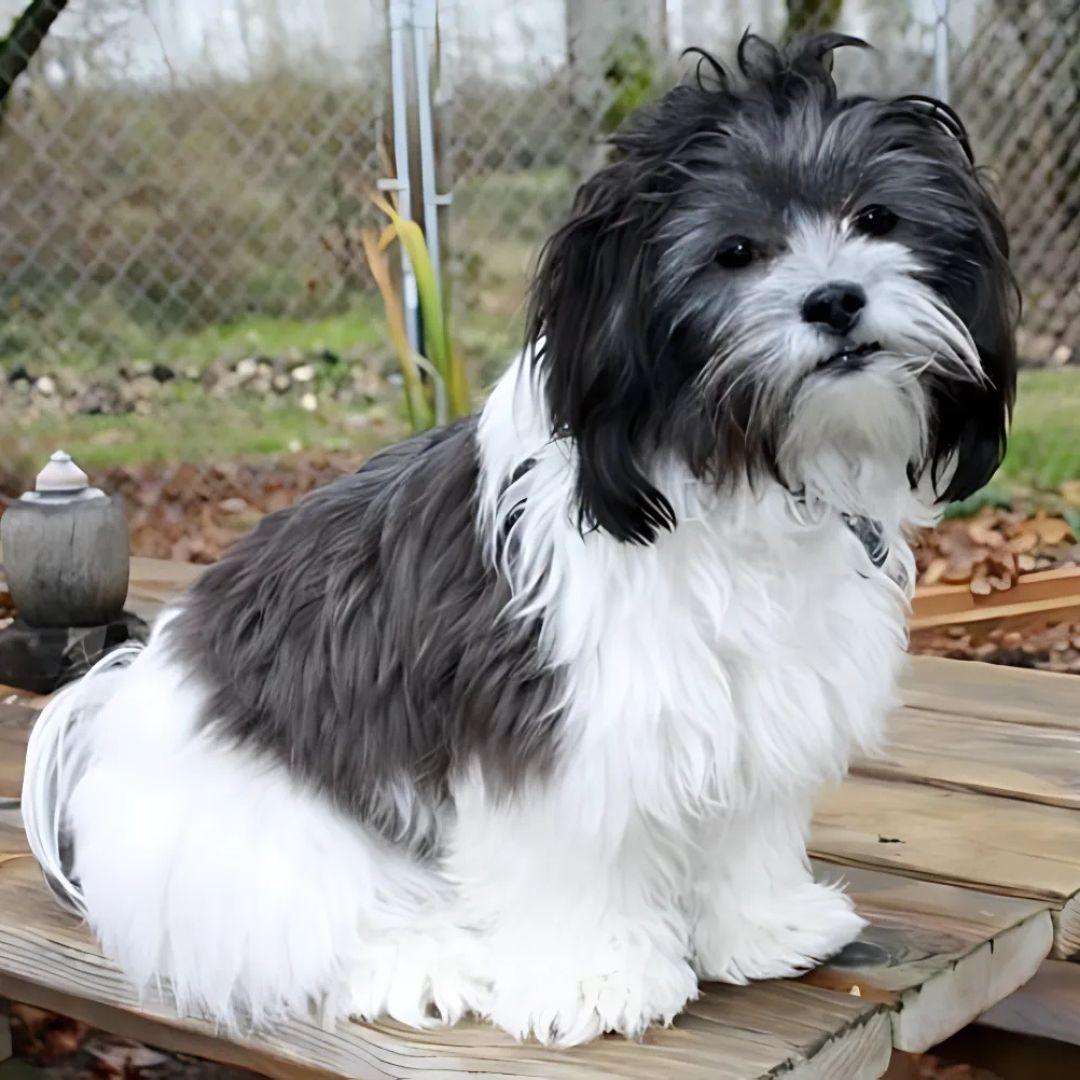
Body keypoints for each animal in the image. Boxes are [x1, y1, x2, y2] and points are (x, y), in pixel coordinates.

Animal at [21, 31, 1015, 1045]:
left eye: (877, 218)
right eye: (736, 252)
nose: (835, 299)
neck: (733, 468)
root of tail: (109, 717)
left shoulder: (765, 699)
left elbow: (747, 822)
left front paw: (764, 926)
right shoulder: (558, 719)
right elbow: (574, 855)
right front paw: (597, 977)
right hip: (268, 834)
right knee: (306, 926)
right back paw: (424, 960)